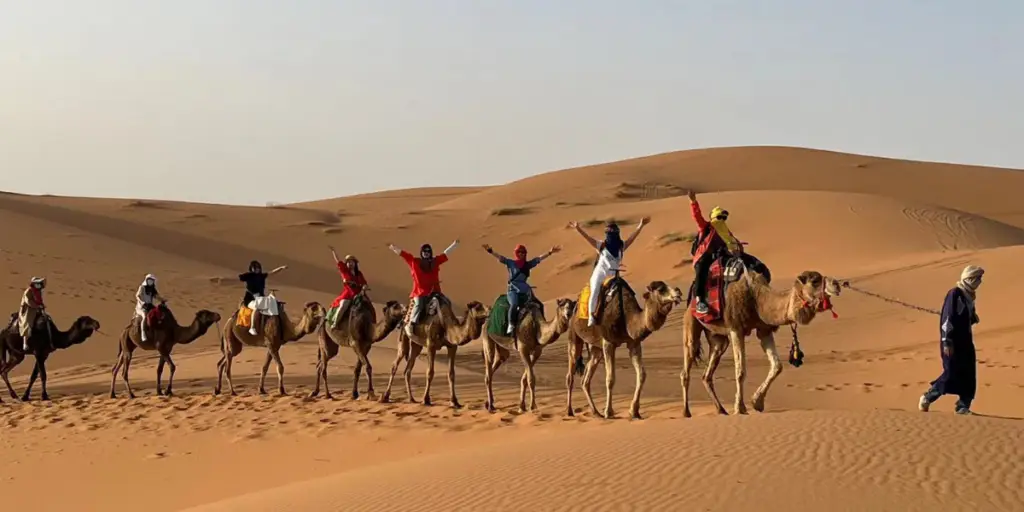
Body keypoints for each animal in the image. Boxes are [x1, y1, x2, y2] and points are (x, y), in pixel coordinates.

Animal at [565, 278, 683, 419]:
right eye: (661, 289)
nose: (678, 292)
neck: (627, 319)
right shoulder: (608, 343)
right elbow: (610, 378)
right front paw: (609, 412)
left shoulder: (634, 343)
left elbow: (641, 374)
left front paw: (634, 411)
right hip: (574, 335)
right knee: (570, 374)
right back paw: (570, 411)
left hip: (595, 348)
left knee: (585, 379)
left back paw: (596, 412)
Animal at [680, 262, 844, 417]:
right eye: (815, 281)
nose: (836, 284)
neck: (758, 299)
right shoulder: (736, 328)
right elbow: (740, 371)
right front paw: (740, 408)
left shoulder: (764, 330)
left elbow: (777, 366)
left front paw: (757, 402)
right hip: (691, 323)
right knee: (687, 366)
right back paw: (686, 412)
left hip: (718, 338)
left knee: (707, 373)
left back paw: (721, 410)